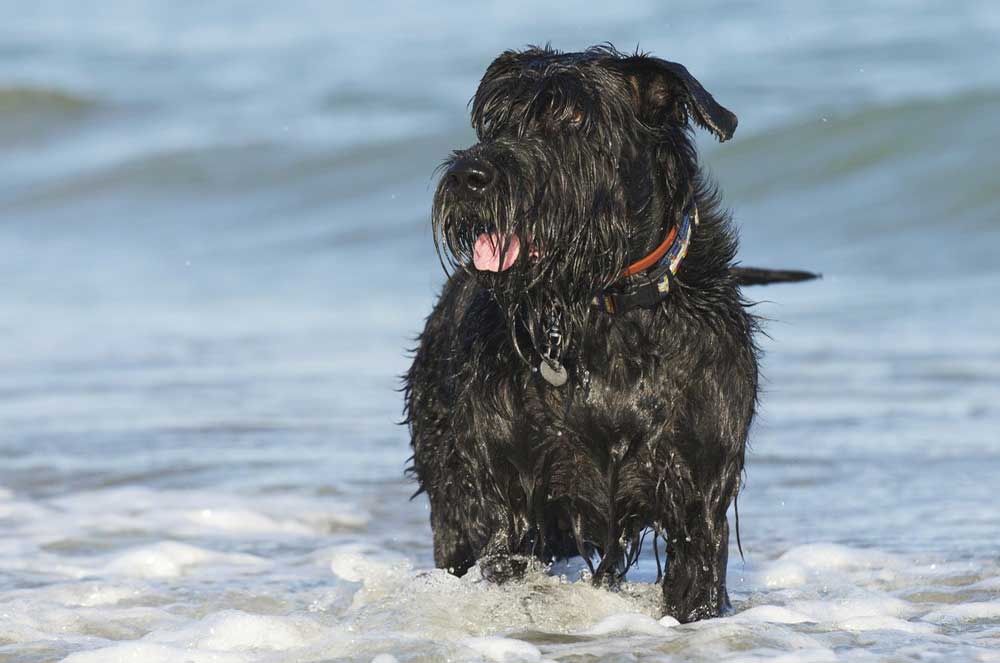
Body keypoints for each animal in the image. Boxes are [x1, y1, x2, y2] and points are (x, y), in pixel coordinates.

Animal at [402, 45, 816, 624]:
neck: (608, 315)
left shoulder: (699, 497)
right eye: (495, 120)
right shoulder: (506, 499)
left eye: (575, 116)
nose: (469, 176)